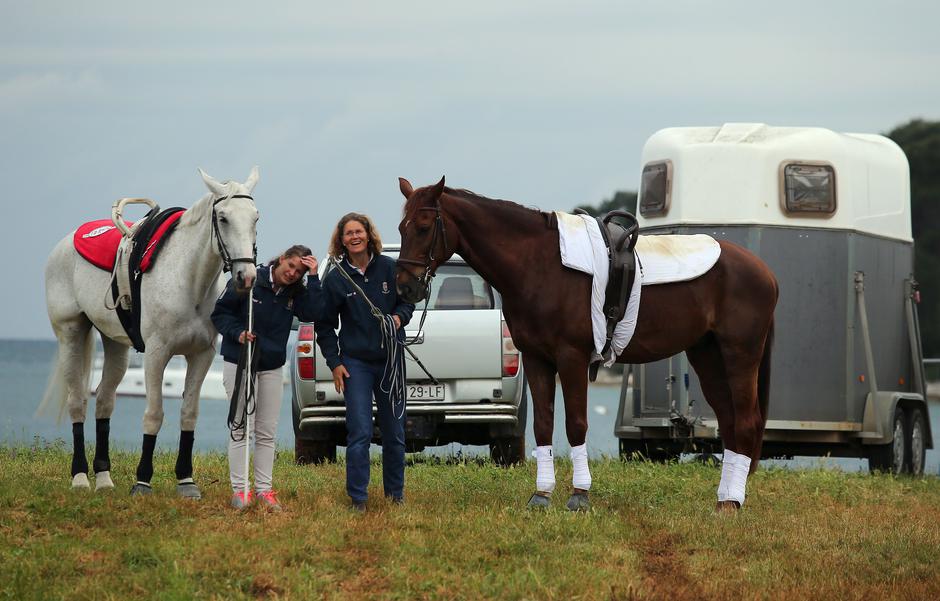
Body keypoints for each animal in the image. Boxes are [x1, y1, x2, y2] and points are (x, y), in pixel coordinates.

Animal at [42, 166, 258, 494]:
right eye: (223, 218)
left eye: (256, 217)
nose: (247, 276)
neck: (188, 281)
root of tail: (66, 243)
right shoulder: (157, 354)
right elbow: (154, 414)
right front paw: (142, 480)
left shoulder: (202, 355)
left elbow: (189, 414)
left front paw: (186, 480)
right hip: (70, 334)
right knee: (78, 402)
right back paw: (80, 477)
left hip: (116, 344)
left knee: (104, 402)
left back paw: (103, 478)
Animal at [396, 177, 780, 510]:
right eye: (401, 228)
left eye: (424, 227)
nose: (405, 287)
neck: (540, 265)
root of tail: (764, 271)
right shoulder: (537, 359)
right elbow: (544, 425)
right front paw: (541, 495)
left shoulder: (572, 358)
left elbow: (576, 423)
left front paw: (579, 495)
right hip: (707, 356)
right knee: (729, 422)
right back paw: (723, 500)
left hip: (740, 355)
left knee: (746, 422)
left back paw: (733, 502)